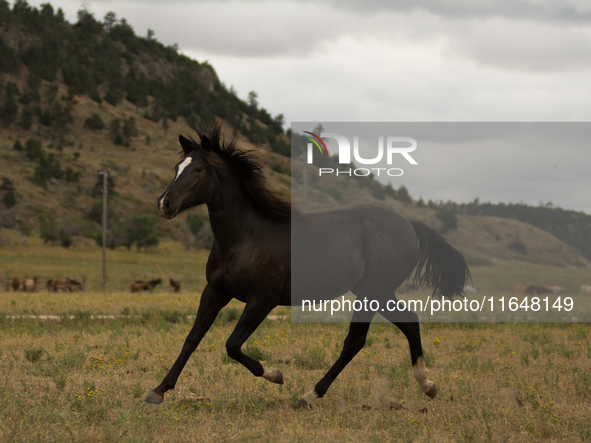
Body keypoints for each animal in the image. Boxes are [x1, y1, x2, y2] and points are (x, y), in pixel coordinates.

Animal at [145, 124, 472, 410]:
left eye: (198, 170)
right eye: (177, 167)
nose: (164, 204)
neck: (246, 237)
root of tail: (410, 226)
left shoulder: (262, 301)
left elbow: (232, 345)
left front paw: (275, 375)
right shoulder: (214, 292)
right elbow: (192, 339)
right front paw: (158, 391)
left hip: (372, 293)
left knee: (355, 342)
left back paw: (309, 395)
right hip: (378, 293)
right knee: (409, 323)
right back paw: (427, 385)